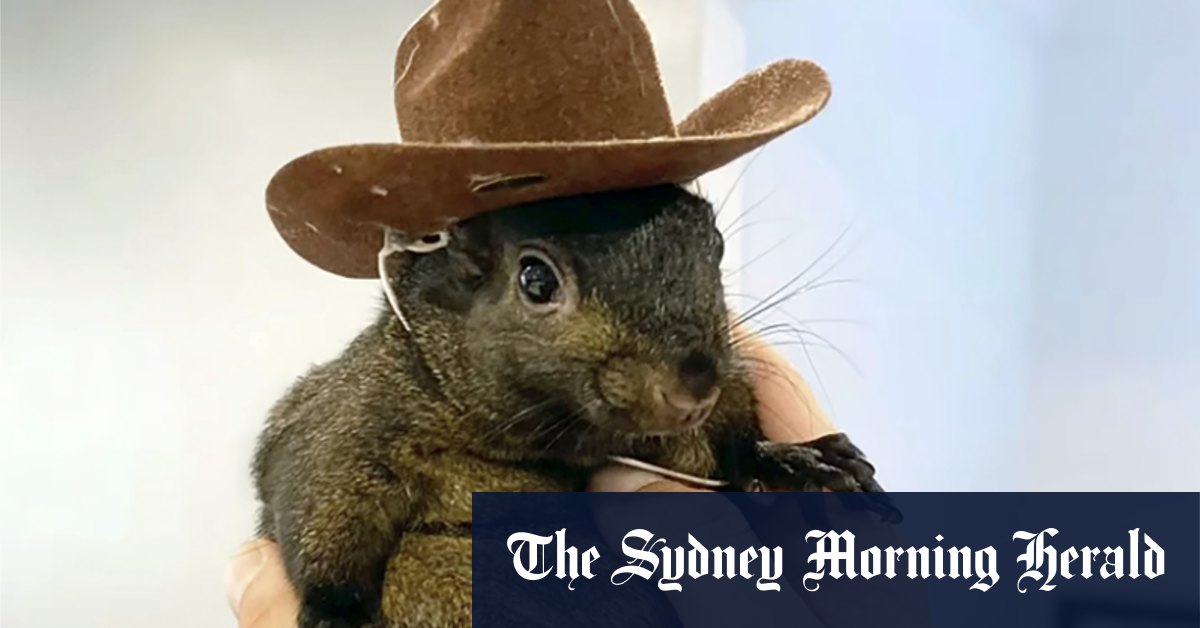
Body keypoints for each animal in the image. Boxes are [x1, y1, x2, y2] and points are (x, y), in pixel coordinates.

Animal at [252, 184, 887, 627]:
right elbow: (316, 498)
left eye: (717, 246)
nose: (695, 388)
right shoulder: (352, 418)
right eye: (535, 280)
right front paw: (336, 613)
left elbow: (732, 449)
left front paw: (798, 461)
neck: (558, 438)